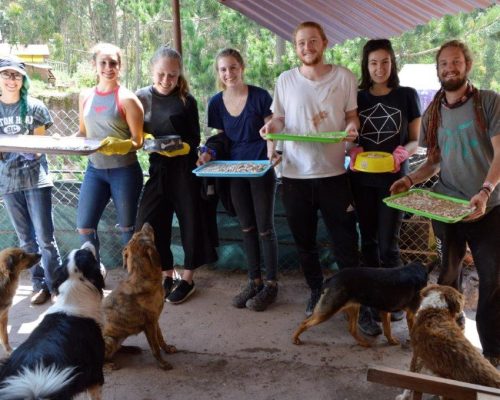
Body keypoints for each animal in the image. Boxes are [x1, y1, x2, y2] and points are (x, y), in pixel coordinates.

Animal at [101, 222, 176, 368]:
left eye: (136, 235)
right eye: (144, 234)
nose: (147, 222)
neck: (141, 277)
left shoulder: (155, 320)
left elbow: (161, 338)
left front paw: (168, 349)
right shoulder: (149, 324)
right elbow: (155, 347)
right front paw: (162, 364)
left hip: (119, 337)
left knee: (118, 348)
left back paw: (131, 349)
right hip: (109, 340)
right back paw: (110, 365)